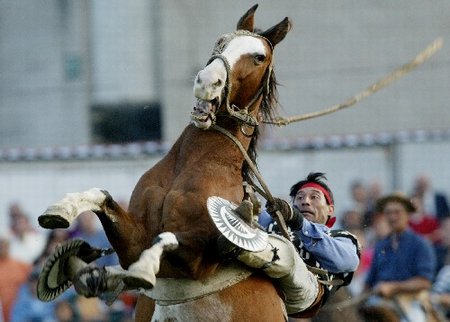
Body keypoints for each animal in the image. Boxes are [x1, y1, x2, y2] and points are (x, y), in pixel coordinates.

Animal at [38, 5, 292, 322]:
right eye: (221, 41)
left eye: (259, 57)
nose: (207, 81)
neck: (193, 162)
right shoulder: (133, 241)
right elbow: (102, 196)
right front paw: (61, 209)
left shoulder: (197, 260)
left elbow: (166, 237)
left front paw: (143, 271)